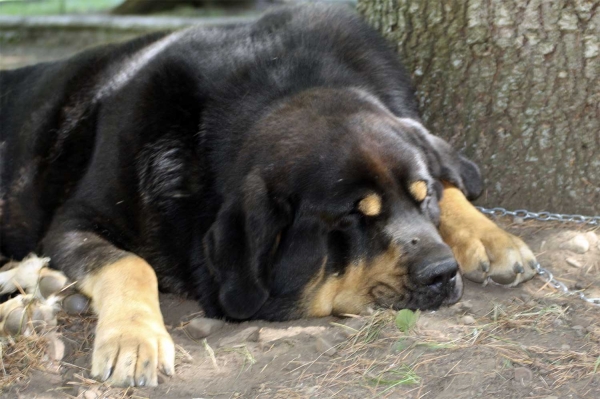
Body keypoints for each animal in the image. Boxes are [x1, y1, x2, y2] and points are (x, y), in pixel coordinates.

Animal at [0, 4, 536, 390]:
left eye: (421, 199)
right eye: (351, 217)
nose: (443, 272)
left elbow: (451, 177)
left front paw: (489, 236)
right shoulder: (73, 221)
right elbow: (130, 264)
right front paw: (135, 339)